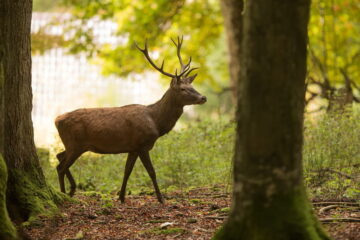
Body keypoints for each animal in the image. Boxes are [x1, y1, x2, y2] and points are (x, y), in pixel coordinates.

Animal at [53, 36, 205, 203]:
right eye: (183, 89)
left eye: (192, 86)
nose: (203, 97)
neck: (156, 123)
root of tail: (57, 120)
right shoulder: (142, 144)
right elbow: (152, 172)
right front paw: (161, 199)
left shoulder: (132, 147)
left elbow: (127, 171)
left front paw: (121, 197)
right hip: (75, 144)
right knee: (61, 166)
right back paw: (64, 193)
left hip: (73, 145)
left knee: (59, 156)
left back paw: (71, 189)